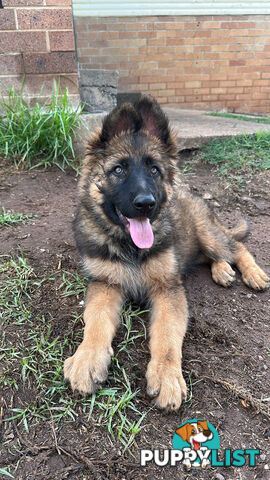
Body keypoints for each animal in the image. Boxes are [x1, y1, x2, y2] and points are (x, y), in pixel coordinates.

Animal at [64, 95, 268, 410]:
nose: (146, 203)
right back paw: (222, 270)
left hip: (208, 235)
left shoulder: (168, 289)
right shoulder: (105, 284)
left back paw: (252, 273)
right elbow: (95, 322)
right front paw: (87, 359)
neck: (130, 246)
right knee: (212, 256)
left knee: (236, 246)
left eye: (154, 171)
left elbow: (167, 335)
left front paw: (166, 376)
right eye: (118, 170)